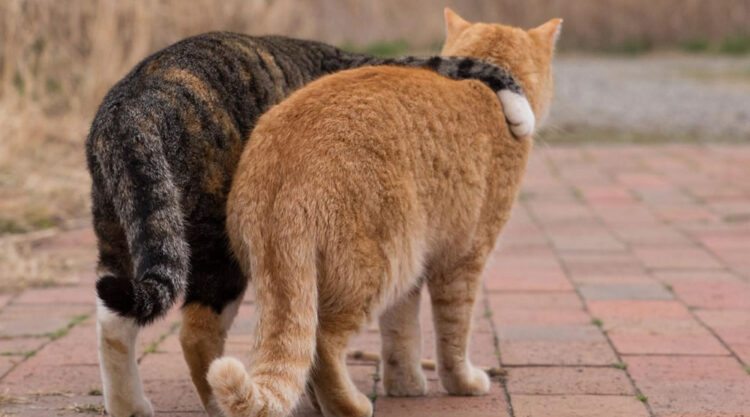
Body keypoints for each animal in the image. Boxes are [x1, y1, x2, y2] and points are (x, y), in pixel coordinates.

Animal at [86, 25, 536, 416]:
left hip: (126, 230)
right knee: (200, 334)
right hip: (217, 248)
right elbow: (468, 64)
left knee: (113, 320)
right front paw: (520, 112)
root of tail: (134, 106)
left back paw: (129, 405)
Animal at [209, 8, 560, 416]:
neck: (485, 89)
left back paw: (320, 404)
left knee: (303, 348)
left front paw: (404, 386)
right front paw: (463, 383)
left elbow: (401, 334)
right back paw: (350, 405)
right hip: (380, 266)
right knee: (323, 343)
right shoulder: (462, 261)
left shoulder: (414, 276)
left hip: (349, 271)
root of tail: (283, 169)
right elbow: (454, 334)